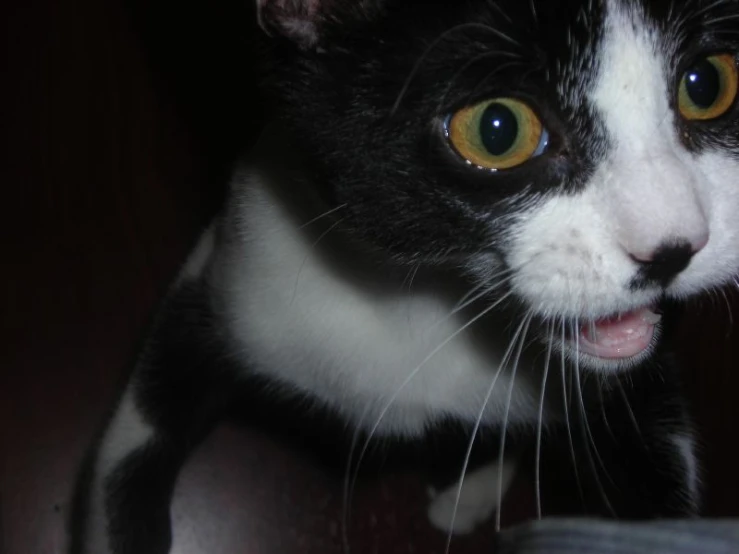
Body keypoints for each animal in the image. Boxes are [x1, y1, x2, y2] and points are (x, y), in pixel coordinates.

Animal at [68, 1, 739, 552]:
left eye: (707, 84)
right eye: (497, 128)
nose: (675, 247)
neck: (431, 299)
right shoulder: (236, 270)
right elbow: (136, 439)